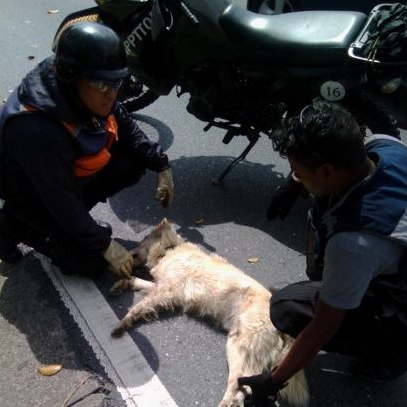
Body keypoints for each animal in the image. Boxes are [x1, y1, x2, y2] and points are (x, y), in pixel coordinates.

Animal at [110, 220, 308, 407]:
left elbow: (138, 307)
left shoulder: (166, 291)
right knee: (245, 388)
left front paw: (122, 323)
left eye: (143, 239)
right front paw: (120, 285)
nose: (127, 250)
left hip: (238, 348)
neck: (170, 250)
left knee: (236, 385)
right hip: (251, 354)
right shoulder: (163, 289)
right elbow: (135, 281)